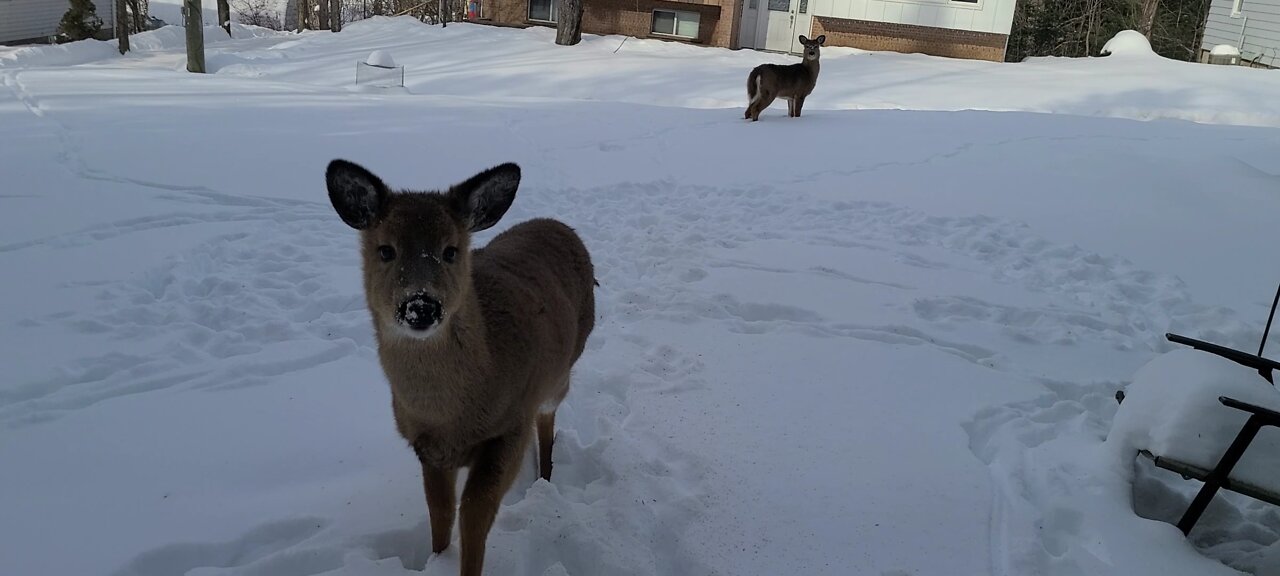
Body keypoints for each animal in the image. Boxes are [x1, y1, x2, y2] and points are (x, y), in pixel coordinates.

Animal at [325, 157, 593, 576]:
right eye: (385, 250)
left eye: (450, 251)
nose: (420, 305)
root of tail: (558, 224)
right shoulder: (426, 447)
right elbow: (441, 513)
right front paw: (437, 558)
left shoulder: (509, 430)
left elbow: (473, 517)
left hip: (562, 369)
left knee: (548, 415)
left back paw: (546, 475)